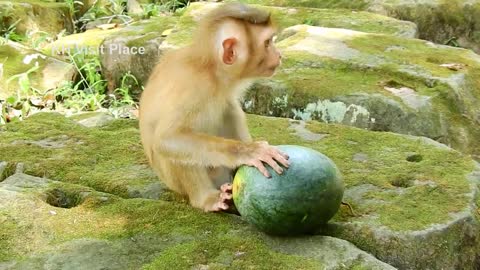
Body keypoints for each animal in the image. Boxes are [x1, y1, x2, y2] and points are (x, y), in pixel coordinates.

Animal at [139, 2, 288, 213]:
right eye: (267, 43)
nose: (280, 55)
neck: (211, 68)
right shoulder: (193, 85)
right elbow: (168, 138)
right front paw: (249, 151)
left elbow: (229, 108)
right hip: (180, 181)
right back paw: (206, 199)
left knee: (229, 109)